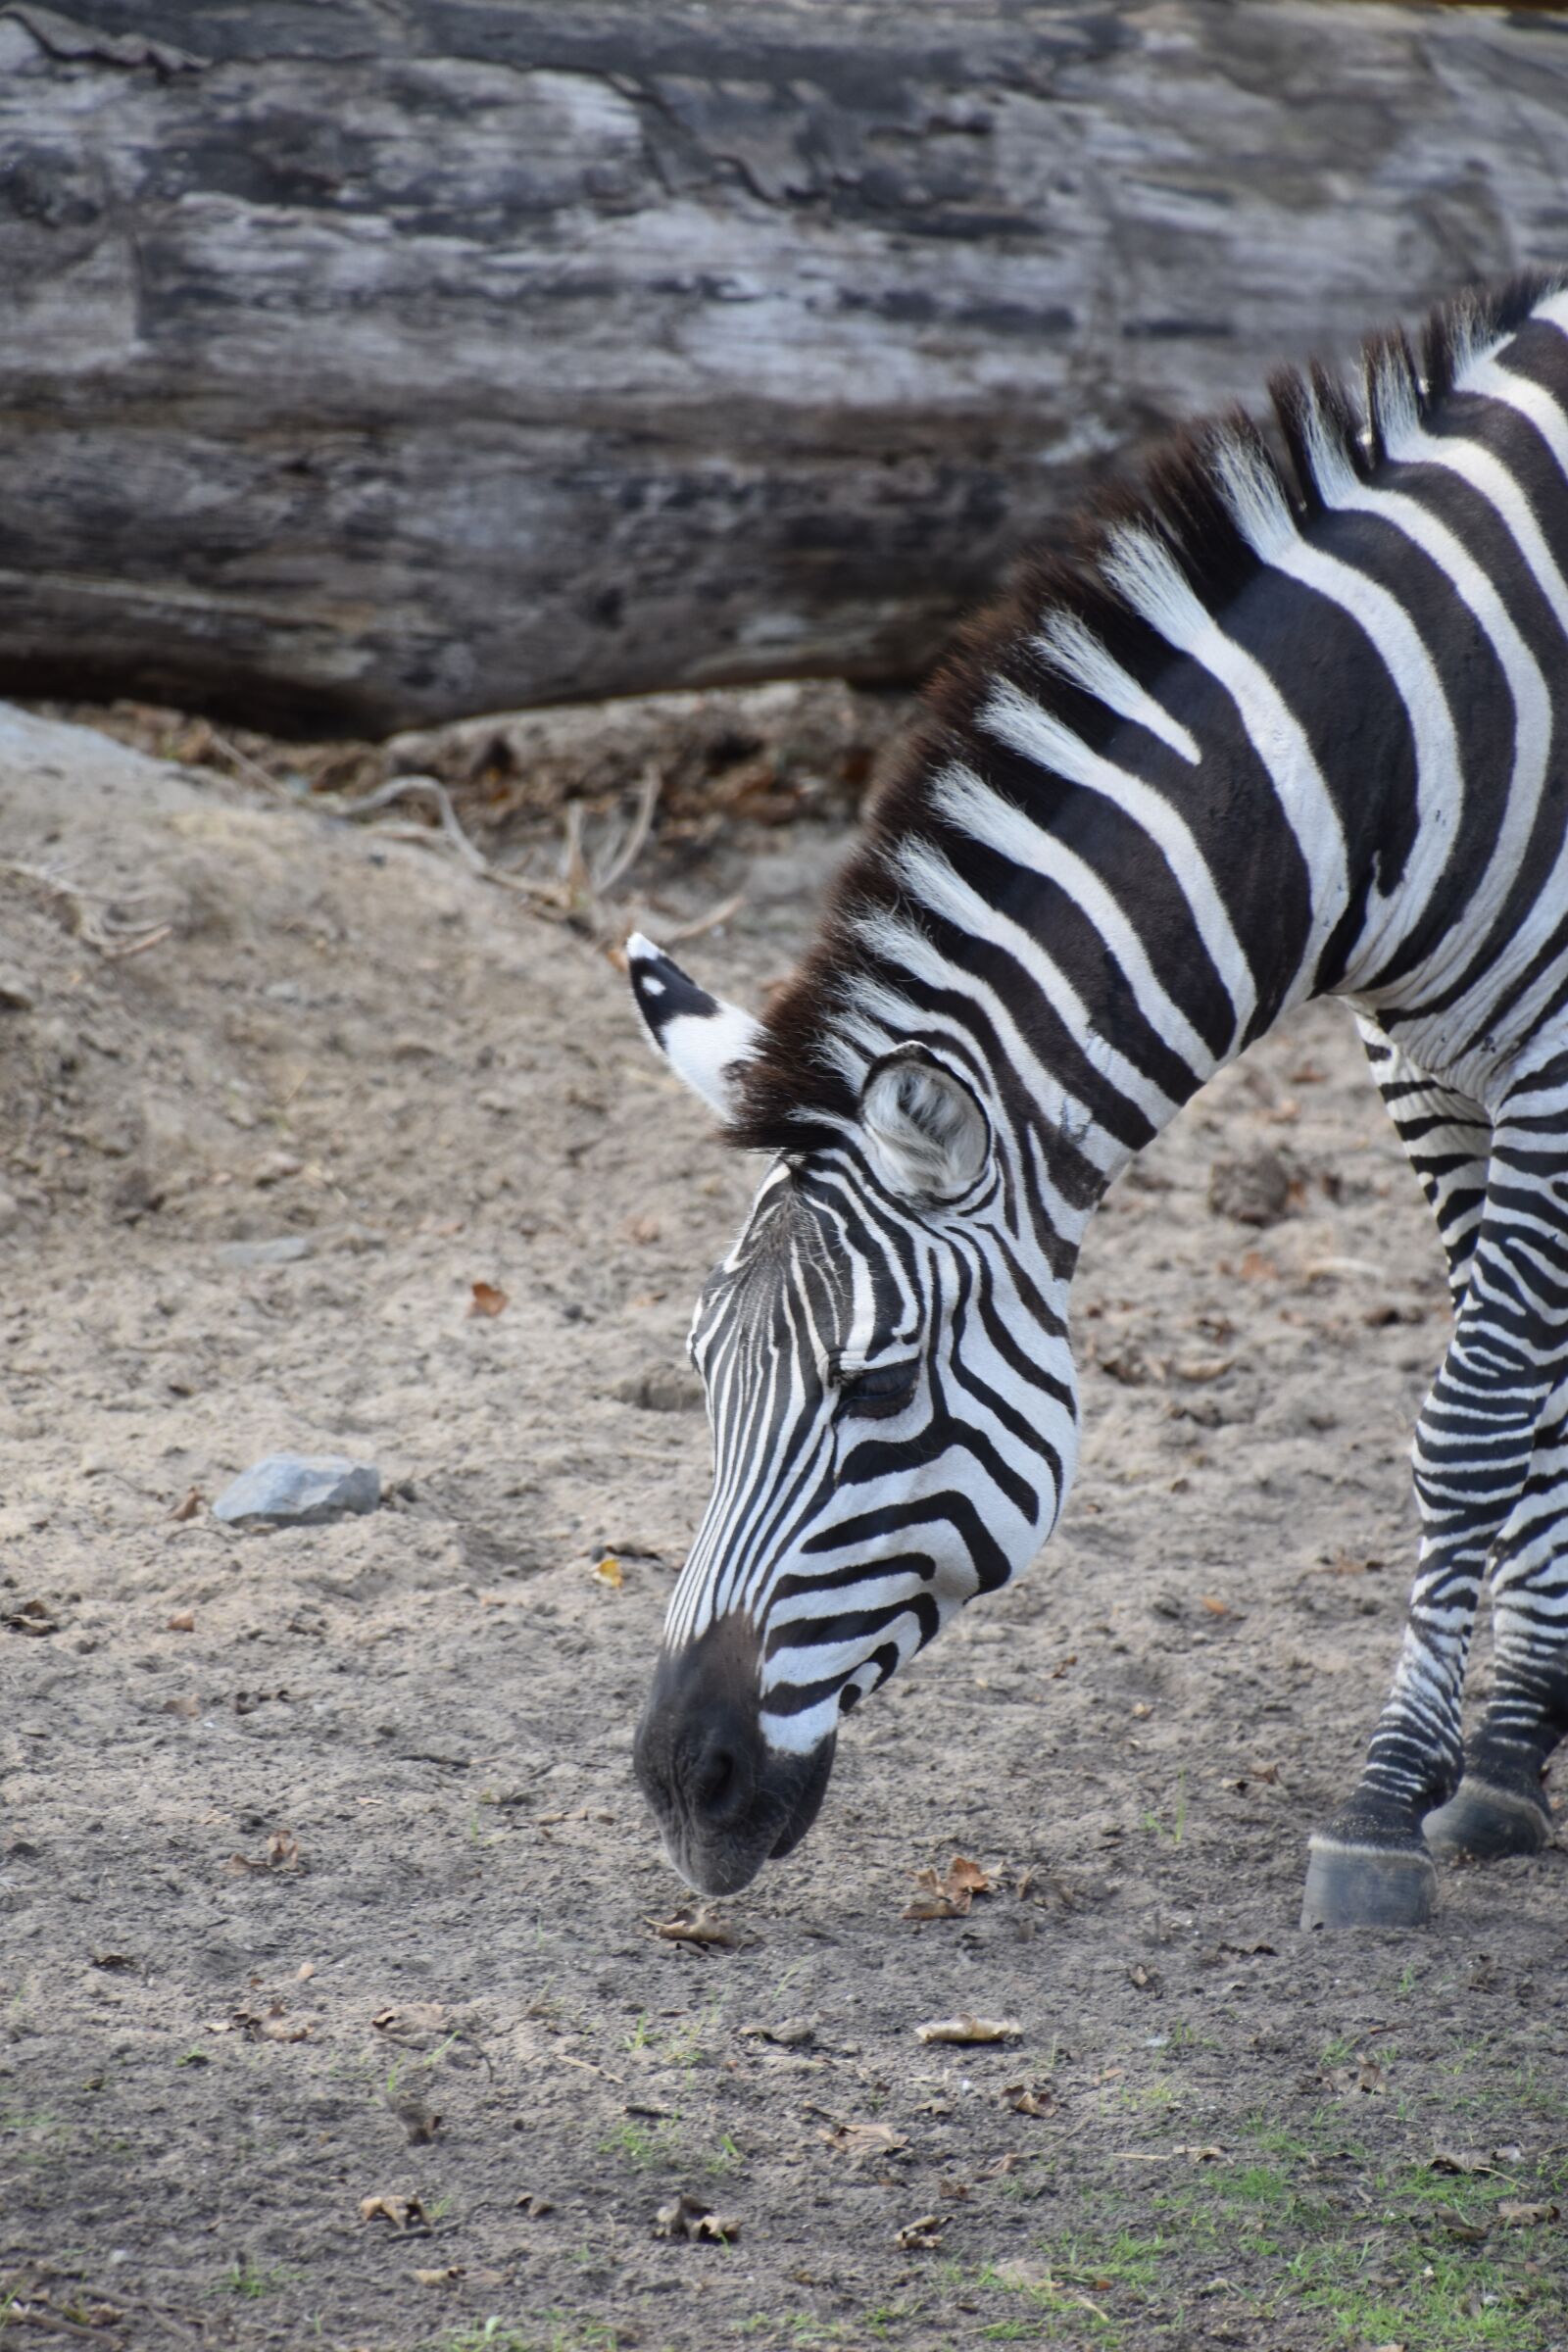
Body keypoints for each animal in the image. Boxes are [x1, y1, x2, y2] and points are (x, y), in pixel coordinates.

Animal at [626, 271, 1568, 1930]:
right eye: (701, 1372)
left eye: (879, 1390)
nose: (686, 1784)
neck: (1399, 747)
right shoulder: (1427, 1057)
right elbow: (1531, 1393)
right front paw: (1516, 1745)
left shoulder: (1555, 1042)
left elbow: (1472, 1420)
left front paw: (1393, 1795)